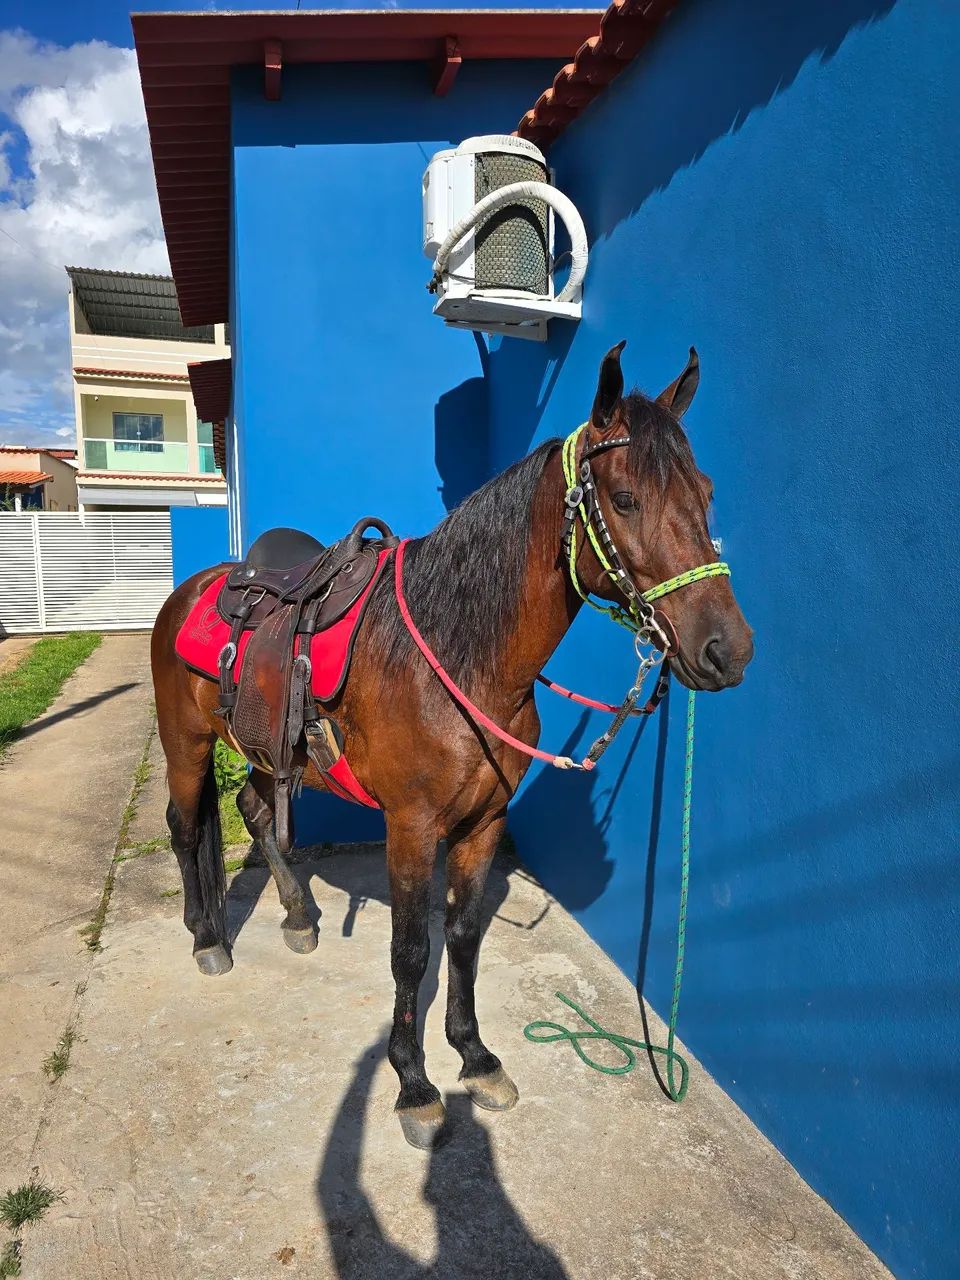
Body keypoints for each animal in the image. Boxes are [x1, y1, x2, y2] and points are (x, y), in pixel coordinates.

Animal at [150, 342, 754, 1148]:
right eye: (624, 498)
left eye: (706, 492)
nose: (727, 649)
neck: (459, 654)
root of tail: (198, 588)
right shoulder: (411, 827)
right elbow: (411, 951)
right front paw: (413, 1084)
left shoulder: (484, 822)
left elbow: (463, 936)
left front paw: (474, 1055)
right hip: (186, 746)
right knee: (188, 830)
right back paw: (208, 940)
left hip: (266, 749)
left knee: (253, 807)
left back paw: (300, 916)